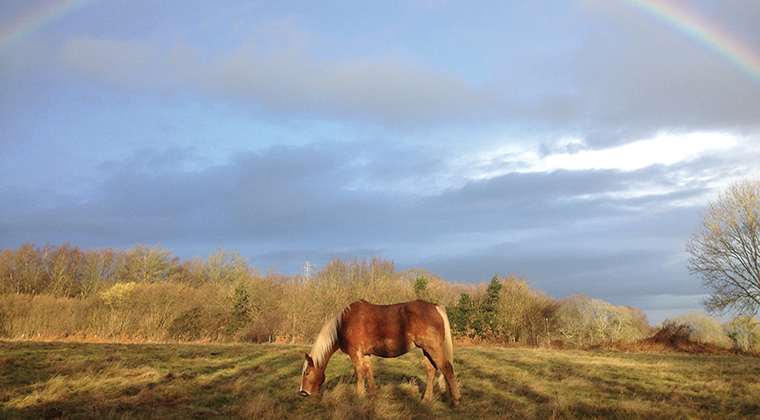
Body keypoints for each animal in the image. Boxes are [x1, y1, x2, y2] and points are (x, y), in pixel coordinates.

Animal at [299, 299, 461, 405]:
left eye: (307, 373)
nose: (303, 393)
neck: (343, 323)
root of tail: (436, 307)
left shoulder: (355, 352)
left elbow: (359, 374)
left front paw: (359, 397)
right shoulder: (365, 354)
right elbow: (369, 373)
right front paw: (373, 396)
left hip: (432, 348)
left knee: (447, 368)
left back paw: (457, 401)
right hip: (426, 350)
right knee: (431, 371)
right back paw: (426, 399)